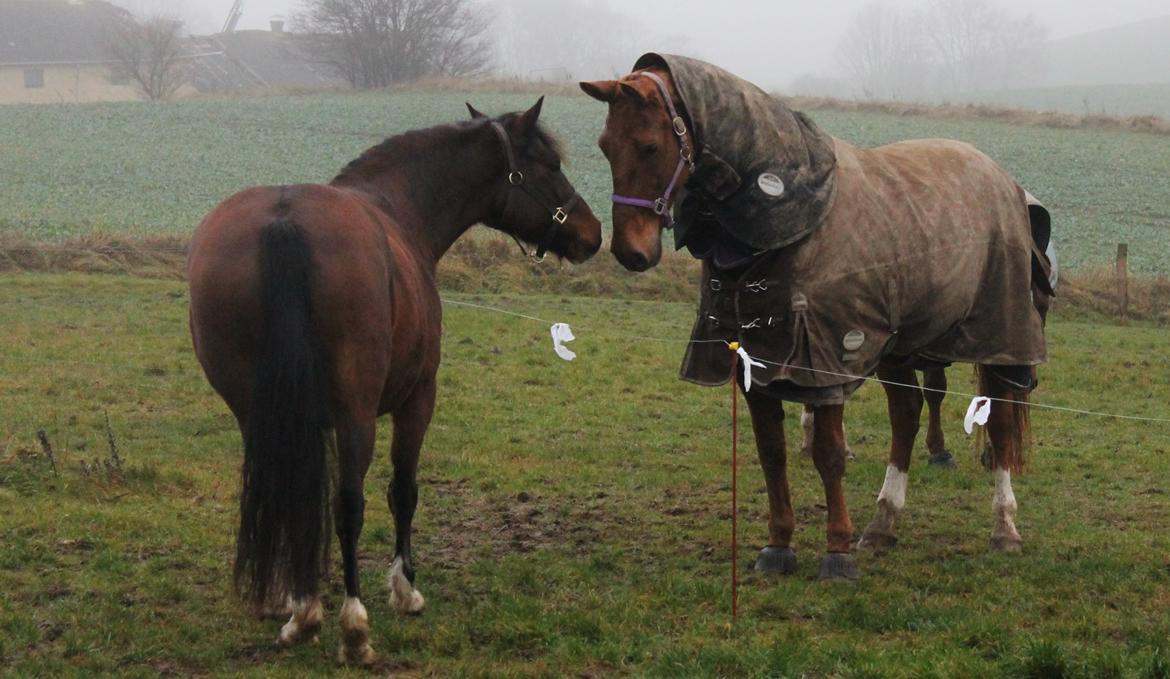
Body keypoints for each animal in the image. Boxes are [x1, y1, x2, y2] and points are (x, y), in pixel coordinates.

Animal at [187, 98, 601, 663]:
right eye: (550, 166)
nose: (593, 234)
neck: (399, 208)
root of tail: (285, 220)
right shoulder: (417, 399)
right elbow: (402, 490)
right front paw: (404, 589)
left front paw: (297, 598)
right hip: (356, 413)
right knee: (348, 504)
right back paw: (351, 627)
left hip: (254, 411)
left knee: (277, 490)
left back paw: (294, 607)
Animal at [582, 54, 1053, 580]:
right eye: (605, 146)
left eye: (648, 144)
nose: (630, 252)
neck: (794, 227)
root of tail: (1003, 179)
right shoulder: (757, 366)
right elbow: (772, 454)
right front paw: (778, 546)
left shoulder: (824, 362)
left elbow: (829, 456)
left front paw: (837, 553)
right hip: (898, 345)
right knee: (906, 417)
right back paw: (884, 522)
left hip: (1000, 335)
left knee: (1000, 424)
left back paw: (1004, 528)